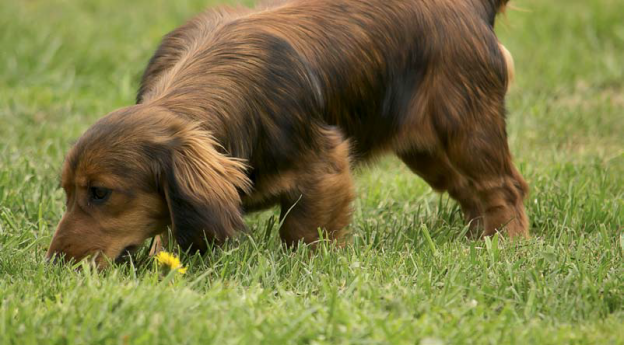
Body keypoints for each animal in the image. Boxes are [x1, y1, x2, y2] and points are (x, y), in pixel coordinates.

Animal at [46, 0, 528, 266]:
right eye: (67, 191)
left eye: (101, 193)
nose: (54, 265)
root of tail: (467, 6)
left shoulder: (325, 168)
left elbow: (302, 232)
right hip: (427, 152)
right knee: (472, 193)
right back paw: (476, 240)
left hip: (466, 129)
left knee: (506, 187)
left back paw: (507, 246)